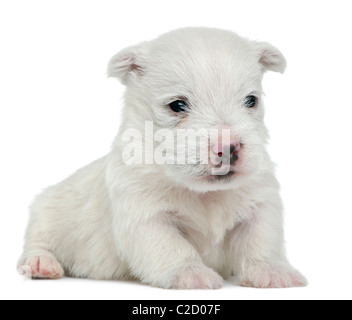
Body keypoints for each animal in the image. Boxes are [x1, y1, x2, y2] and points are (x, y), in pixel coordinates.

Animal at [18, 26, 308, 288]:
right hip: (48, 212)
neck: (204, 193)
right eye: (177, 105)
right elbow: (172, 247)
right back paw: (41, 264)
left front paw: (273, 273)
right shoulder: (145, 215)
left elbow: (260, 240)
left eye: (251, 100)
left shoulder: (259, 202)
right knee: (37, 240)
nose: (229, 148)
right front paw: (192, 275)